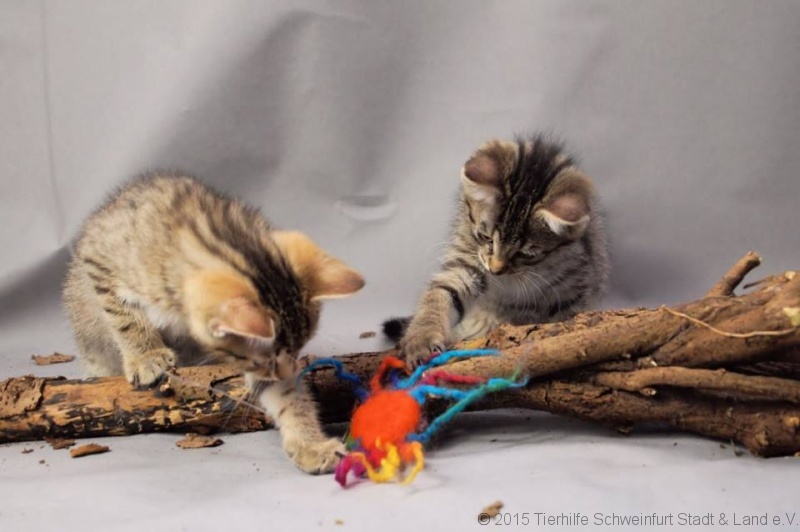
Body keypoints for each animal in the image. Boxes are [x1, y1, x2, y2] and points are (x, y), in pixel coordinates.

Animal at [63, 172, 364, 473]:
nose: (285, 371)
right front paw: (147, 356)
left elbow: (287, 396)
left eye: (296, 353)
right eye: (261, 360)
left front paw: (311, 444)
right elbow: (125, 318)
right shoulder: (98, 259)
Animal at [384, 134, 609, 365]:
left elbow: (565, 315)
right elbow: (439, 293)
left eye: (524, 254)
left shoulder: (575, 285)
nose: (496, 269)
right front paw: (421, 338)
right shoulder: (466, 260)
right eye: (485, 237)